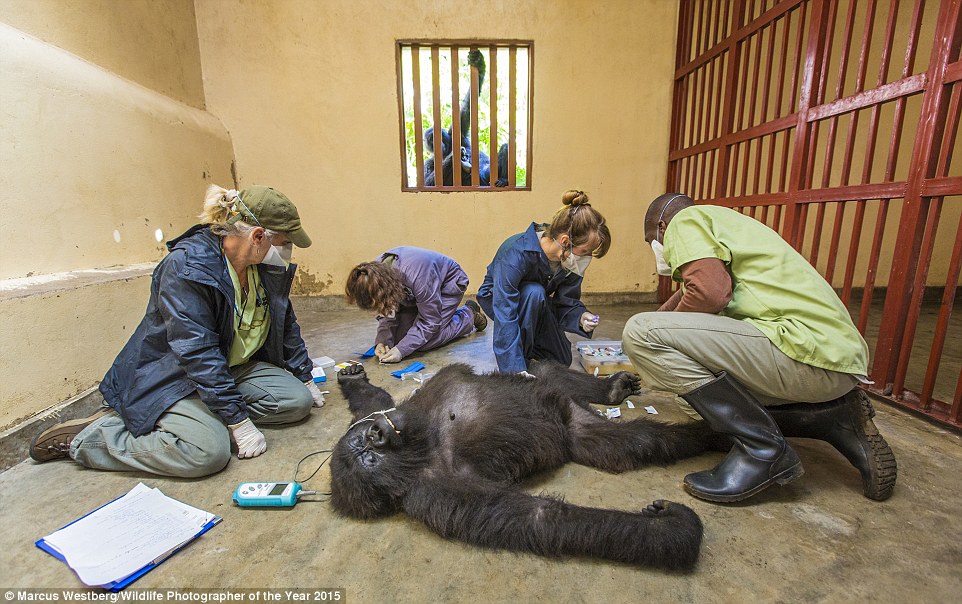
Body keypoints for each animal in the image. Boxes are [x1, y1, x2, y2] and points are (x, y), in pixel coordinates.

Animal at [330, 364, 720, 572]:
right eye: (368, 460)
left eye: (366, 441)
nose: (377, 434)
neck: (423, 437)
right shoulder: (438, 493)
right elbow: (542, 519)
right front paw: (672, 530)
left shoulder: (394, 410)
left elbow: (375, 400)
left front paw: (353, 381)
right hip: (580, 429)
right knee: (633, 441)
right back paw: (710, 437)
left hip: (560, 400)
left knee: (547, 371)